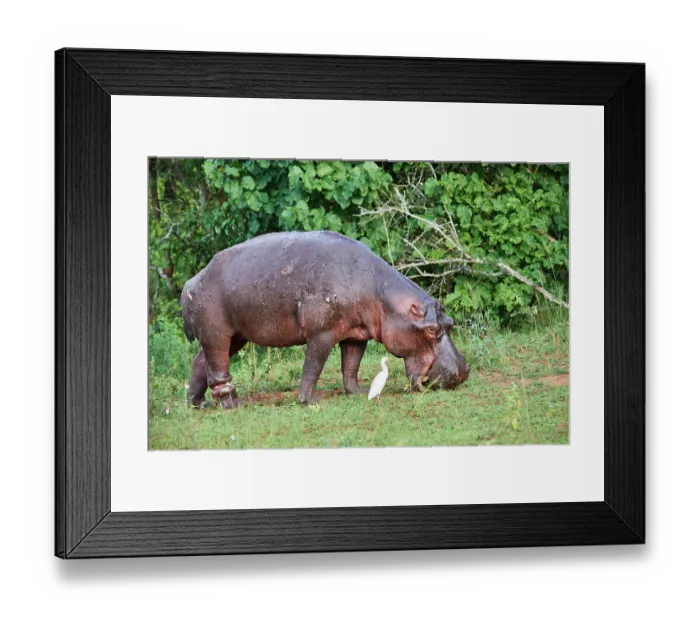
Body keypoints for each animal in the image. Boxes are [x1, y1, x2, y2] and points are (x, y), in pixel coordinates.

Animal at [181, 230, 470, 407]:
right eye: (430, 330)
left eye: (450, 323)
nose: (463, 371)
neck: (383, 297)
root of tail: (191, 283)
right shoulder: (322, 334)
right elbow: (313, 366)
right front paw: (311, 401)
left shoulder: (356, 334)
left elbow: (350, 366)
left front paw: (360, 393)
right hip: (217, 333)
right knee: (218, 369)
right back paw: (233, 404)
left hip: (237, 335)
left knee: (200, 362)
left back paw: (197, 404)